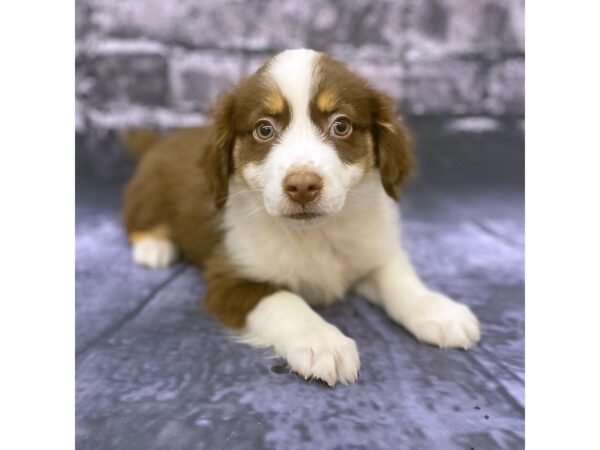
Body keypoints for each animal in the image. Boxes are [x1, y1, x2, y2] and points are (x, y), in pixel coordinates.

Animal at [120, 48, 478, 386]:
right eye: (264, 129)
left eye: (341, 125)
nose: (303, 186)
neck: (314, 234)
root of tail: (158, 142)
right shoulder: (228, 278)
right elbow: (284, 300)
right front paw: (322, 342)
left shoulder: (372, 249)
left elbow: (398, 277)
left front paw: (437, 310)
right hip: (148, 193)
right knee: (136, 222)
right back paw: (154, 247)